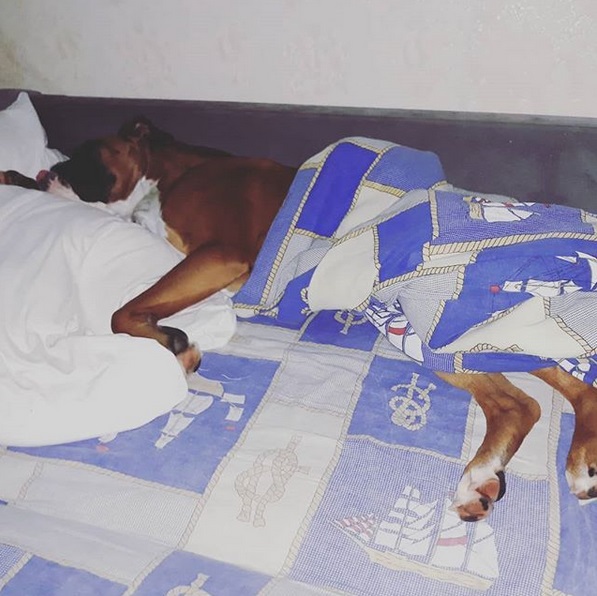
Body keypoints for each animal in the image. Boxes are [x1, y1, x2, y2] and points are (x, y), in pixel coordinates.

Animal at [2, 121, 592, 520]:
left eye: (83, 154)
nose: (48, 171)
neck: (179, 168)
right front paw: (14, 175)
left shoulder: (222, 255)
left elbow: (121, 311)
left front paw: (178, 344)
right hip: (456, 329)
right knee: (545, 395)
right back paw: (542, 465)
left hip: (433, 321)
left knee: (525, 401)